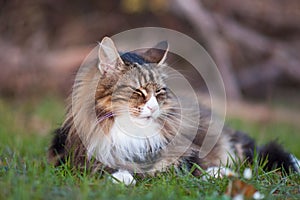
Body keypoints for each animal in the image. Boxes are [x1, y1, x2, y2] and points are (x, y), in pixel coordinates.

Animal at [48, 36, 298, 184]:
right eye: (138, 91)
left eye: (159, 92)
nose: (153, 106)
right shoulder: (72, 160)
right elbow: (108, 170)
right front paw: (123, 178)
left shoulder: (179, 157)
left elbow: (173, 169)